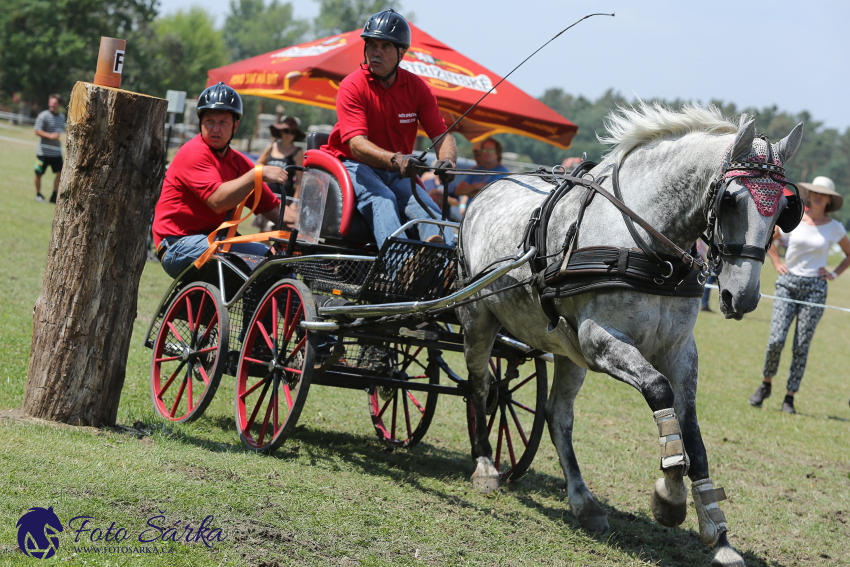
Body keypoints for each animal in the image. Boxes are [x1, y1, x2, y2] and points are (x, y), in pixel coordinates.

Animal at [458, 103, 800, 567]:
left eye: (784, 211)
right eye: (731, 200)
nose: (741, 296)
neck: (648, 244)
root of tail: (486, 189)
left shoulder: (679, 351)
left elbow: (693, 433)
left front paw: (719, 534)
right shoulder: (601, 341)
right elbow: (659, 393)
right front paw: (669, 496)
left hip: (566, 352)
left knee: (557, 415)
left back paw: (583, 502)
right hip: (478, 319)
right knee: (480, 387)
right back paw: (485, 467)